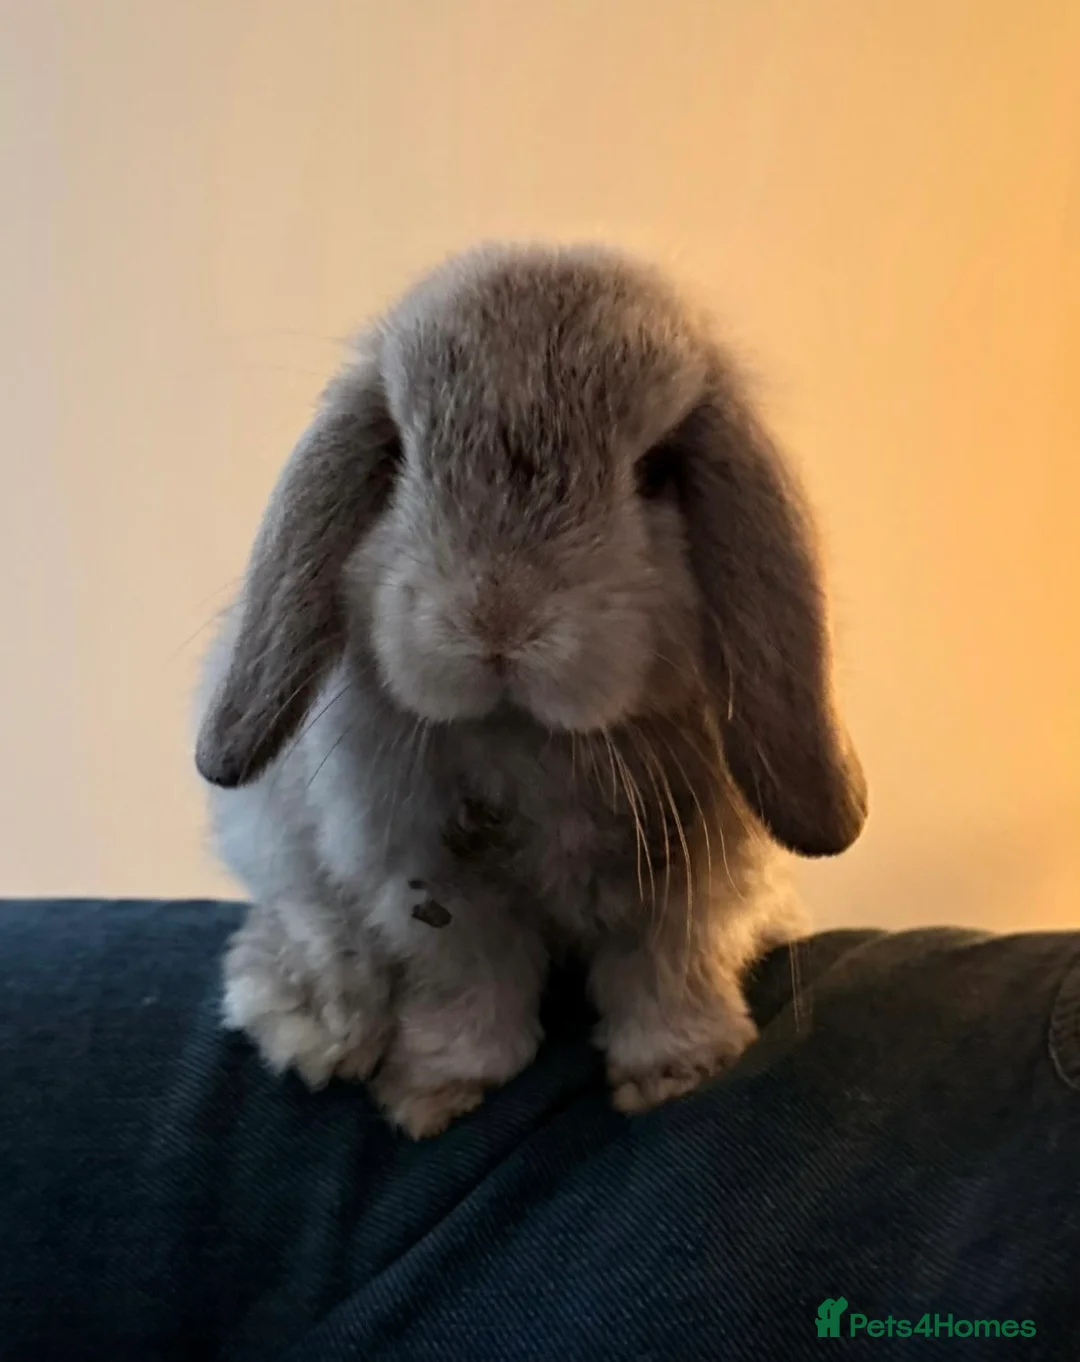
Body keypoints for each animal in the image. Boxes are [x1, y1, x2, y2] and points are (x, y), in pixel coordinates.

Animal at [195, 242, 867, 1139]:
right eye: (397, 458)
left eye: (656, 471)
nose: (497, 620)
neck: (533, 740)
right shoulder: (428, 884)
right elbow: (471, 984)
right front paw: (434, 1092)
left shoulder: (696, 879)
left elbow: (669, 971)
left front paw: (675, 1071)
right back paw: (313, 1019)